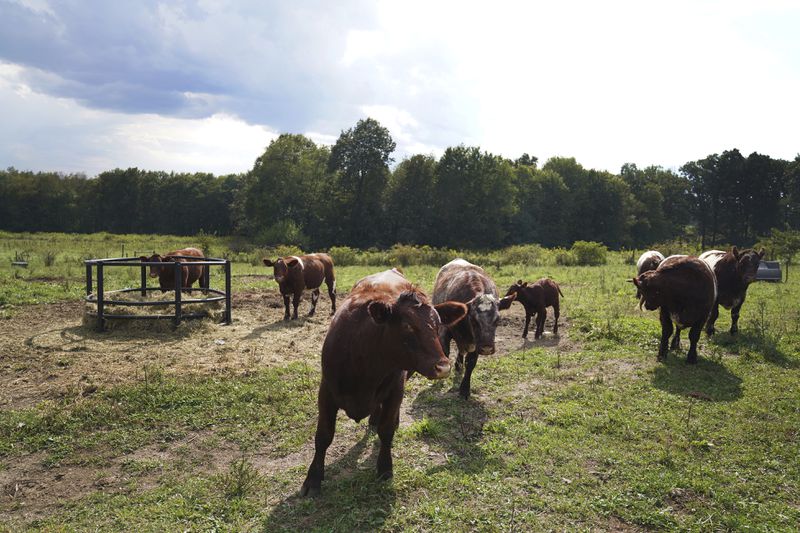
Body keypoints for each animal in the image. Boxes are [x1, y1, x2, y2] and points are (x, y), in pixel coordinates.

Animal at [302, 268, 468, 496]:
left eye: (437, 325)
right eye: (407, 326)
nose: (443, 367)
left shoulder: (396, 389)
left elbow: (386, 431)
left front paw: (385, 468)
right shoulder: (326, 391)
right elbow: (323, 436)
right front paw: (313, 479)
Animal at [434, 258, 516, 400]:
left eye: (497, 320)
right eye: (473, 320)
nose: (487, 348)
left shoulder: (476, 344)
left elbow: (471, 363)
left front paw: (465, 389)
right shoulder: (445, 331)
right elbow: (445, 352)